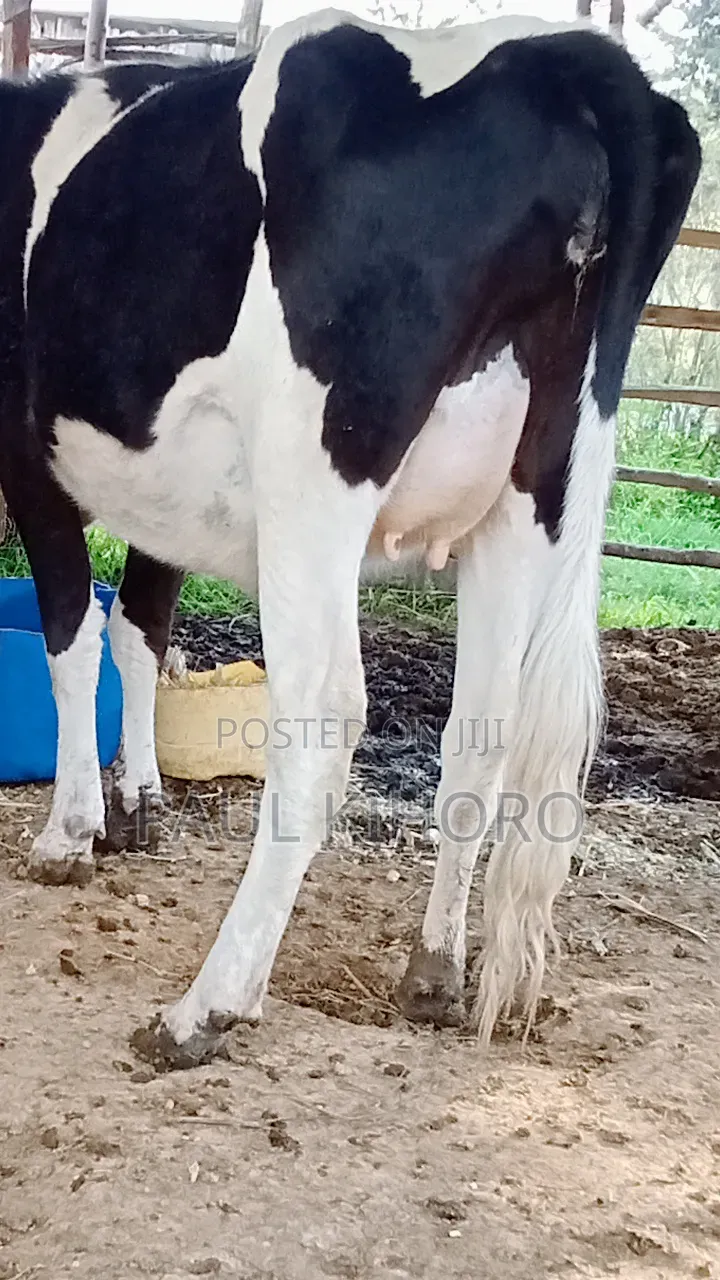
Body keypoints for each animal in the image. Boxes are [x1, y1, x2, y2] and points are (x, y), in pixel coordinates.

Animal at [0, 9, 699, 1068]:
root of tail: (558, 55)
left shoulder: (22, 450)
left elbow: (74, 637)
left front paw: (71, 832)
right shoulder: (160, 484)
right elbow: (140, 631)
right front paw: (139, 804)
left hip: (313, 473)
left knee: (325, 715)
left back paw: (208, 1005)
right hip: (532, 491)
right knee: (482, 725)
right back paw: (435, 974)